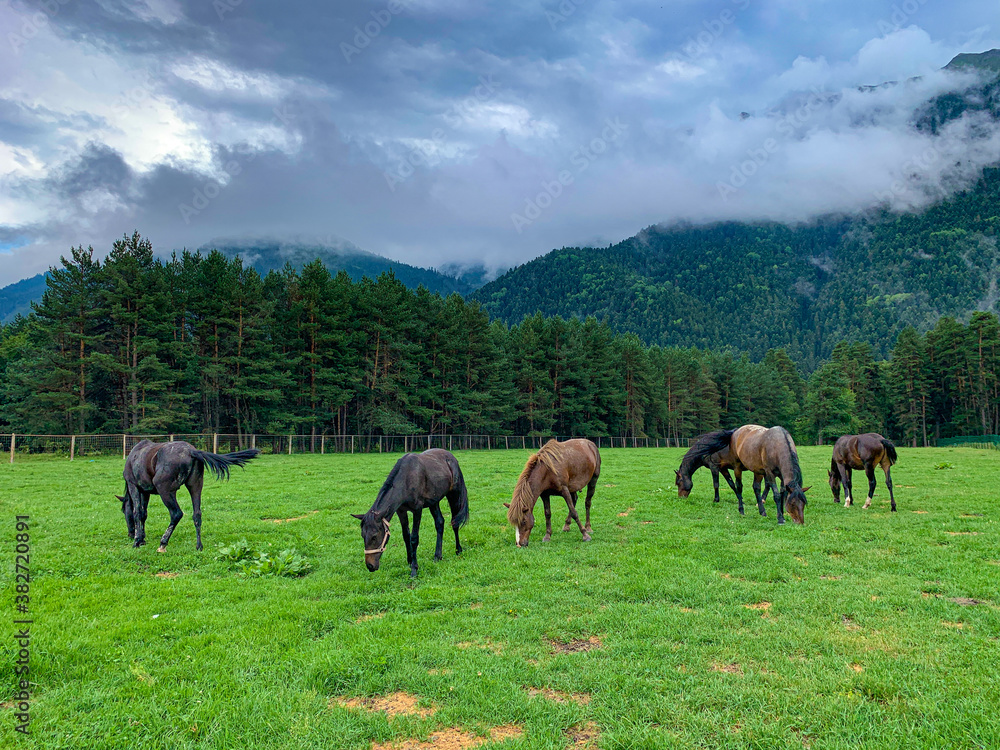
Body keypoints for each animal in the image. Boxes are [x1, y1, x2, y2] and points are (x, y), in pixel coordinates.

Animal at [118, 440, 262, 552]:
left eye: (124, 512)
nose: (130, 534)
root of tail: (191, 451)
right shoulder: (145, 491)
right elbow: (143, 514)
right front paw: (142, 539)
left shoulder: (133, 486)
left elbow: (137, 512)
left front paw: (137, 541)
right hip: (195, 486)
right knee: (197, 514)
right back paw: (199, 546)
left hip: (165, 491)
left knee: (176, 514)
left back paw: (163, 543)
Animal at [352, 450, 468, 580]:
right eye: (363, 535)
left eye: (374, 536)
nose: (370, 566)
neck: (406, 479)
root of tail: (452, 458)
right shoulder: (401, 511)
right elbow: (406, 535)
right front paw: (410, 560)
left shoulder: (417, 510)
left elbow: (414, 538)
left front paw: (414, 569)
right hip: (434, 502)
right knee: (439, 523)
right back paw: (438, 556)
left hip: (454, 495)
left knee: (455, 522)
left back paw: (458, 549)